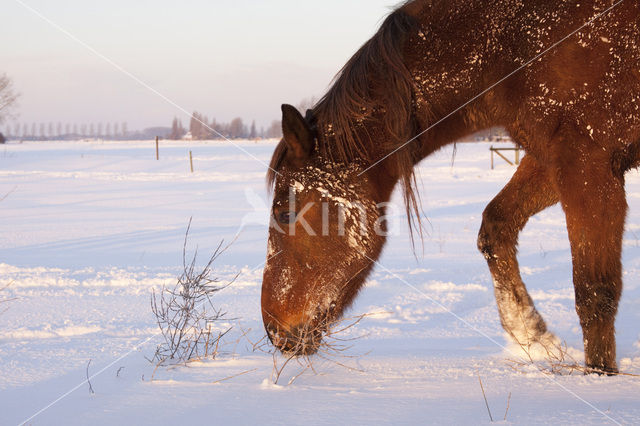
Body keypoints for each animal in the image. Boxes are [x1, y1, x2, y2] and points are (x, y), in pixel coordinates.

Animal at [260, 0, 640, 372]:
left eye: (283, 212)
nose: (273, 329)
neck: (507, 46)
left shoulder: (587, 163)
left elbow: (595, 291)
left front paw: (598, 375)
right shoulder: (550, 160)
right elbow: (495, 226)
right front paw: (532, 335)